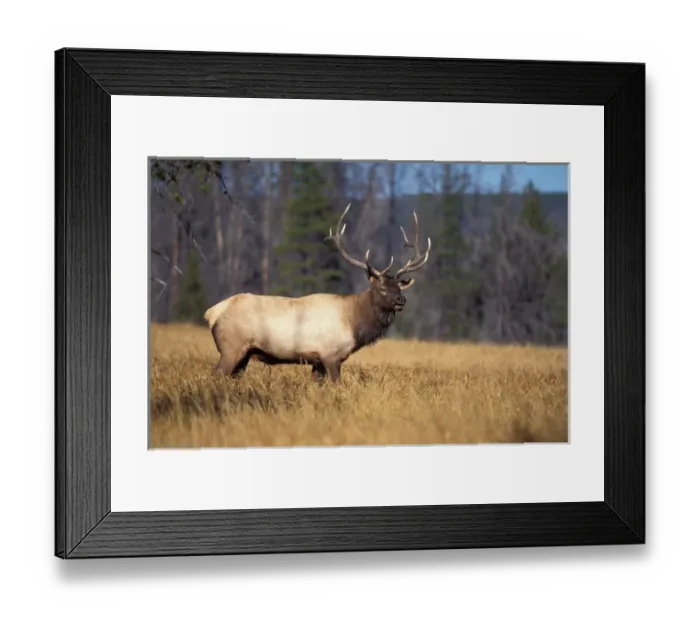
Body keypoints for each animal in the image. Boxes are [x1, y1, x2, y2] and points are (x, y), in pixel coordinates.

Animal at [203, 203, 431, 382]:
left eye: (399, 287)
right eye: (382, 288)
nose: (402, 300)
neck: (354, 323)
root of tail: (212, 312)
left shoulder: (317, 362)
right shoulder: (330, 355)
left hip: (244, 355)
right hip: (232, 347)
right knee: (215, 375)